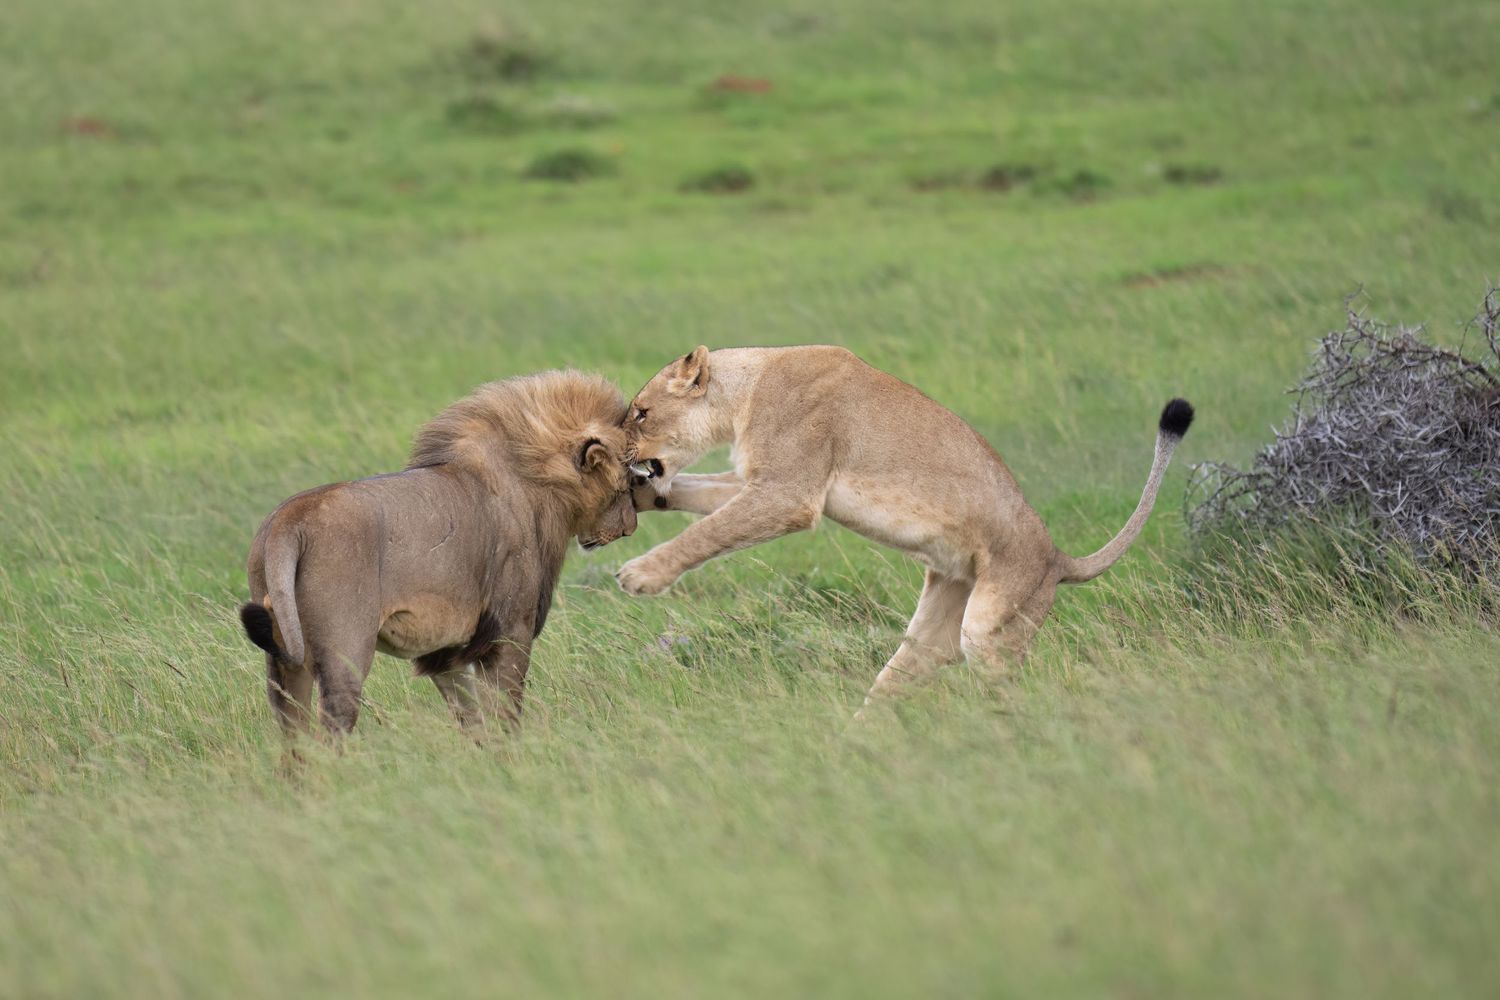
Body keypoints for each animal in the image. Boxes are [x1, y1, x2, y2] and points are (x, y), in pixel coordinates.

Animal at [238, 370, 637, 739]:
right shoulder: (509, 631)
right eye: (627, 485)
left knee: (293, 737)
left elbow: (472, 720)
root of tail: (289, 521)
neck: (534, 482)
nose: (629, 528)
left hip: (284, 660)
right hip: (345, 649)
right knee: (334, 722)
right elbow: (505, 716)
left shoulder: (445, 652)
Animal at [616, 346, 1193, 711]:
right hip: (933, 631)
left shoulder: (789, 492)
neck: (743, 392)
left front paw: (641, 574)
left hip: (990, 622)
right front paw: (638, 496)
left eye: (641, 413)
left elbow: (706, 534)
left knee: (1010, 686)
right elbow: (695, 495)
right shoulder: (758, 481)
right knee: (900, 681)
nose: (621, 454)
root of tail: (1058, 558)